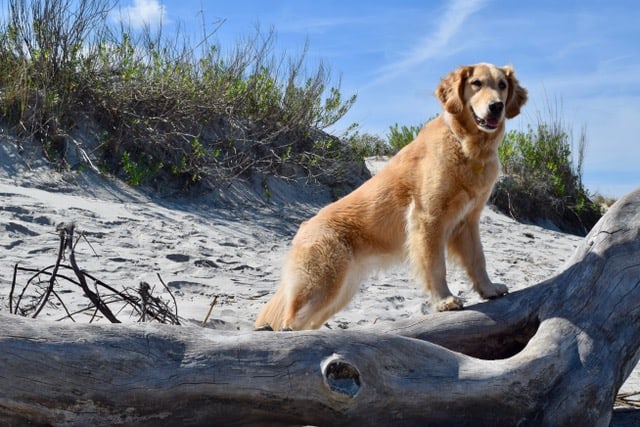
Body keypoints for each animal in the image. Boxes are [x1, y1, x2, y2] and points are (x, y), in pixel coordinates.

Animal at [258, 62, 528, 332]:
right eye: (476, 84)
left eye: (502, 85)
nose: (496, 106)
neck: (466, 145)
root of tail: (303, 227)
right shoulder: (428, 219)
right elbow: (436, 265)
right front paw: (443, 300)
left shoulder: (468, 221)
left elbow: (477, 259)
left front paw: (488, 289)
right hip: (322, 282)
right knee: (289, 321)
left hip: (339, 291)